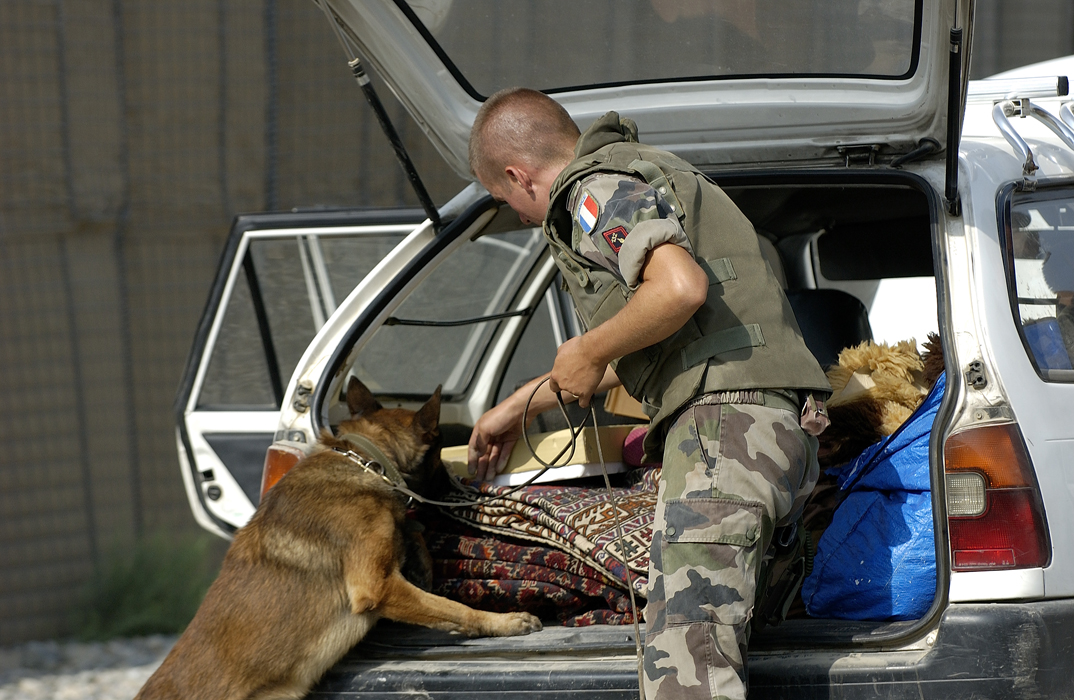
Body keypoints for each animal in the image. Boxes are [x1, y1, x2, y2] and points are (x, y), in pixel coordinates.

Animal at [138, 380, 541, 695]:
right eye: (440, 454)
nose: (464, 484)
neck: (364, 460)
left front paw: (417, 551)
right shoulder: (377, 586)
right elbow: (456, 608)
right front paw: (505, 622)